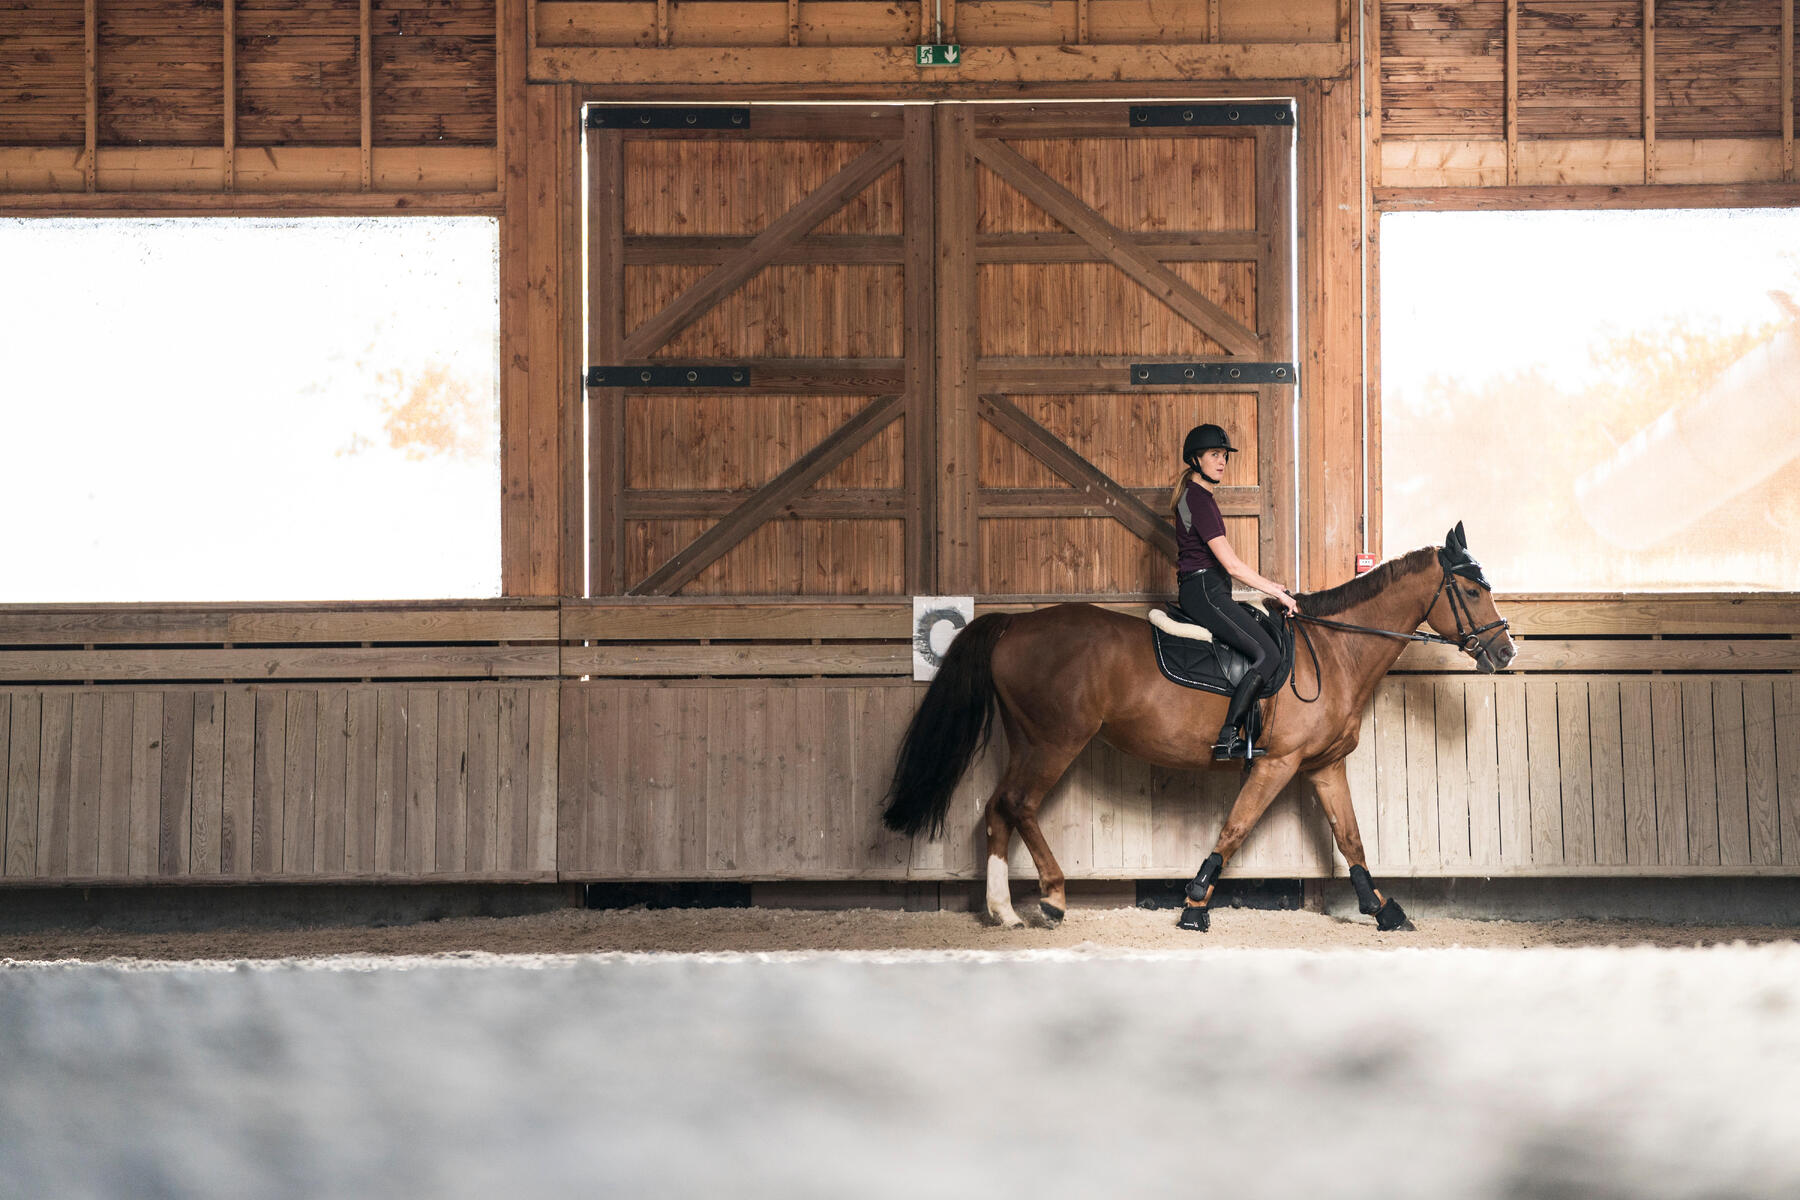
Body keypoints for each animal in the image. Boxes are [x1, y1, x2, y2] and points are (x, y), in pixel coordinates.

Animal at [878, 521, 1512, 928]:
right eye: (1472, 589)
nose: (1504, 652)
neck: (1334, 651)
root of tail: (1014, 626)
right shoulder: (1278, 764)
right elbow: (1235, 828)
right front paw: (1195, 904)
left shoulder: (1323, 765)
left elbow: (1350, 836)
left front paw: (1382, 909)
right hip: (1056, 740)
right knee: (1018, 804)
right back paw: (1052, 900)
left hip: (1029, 740)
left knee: (996, 808)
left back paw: (1004, 911)